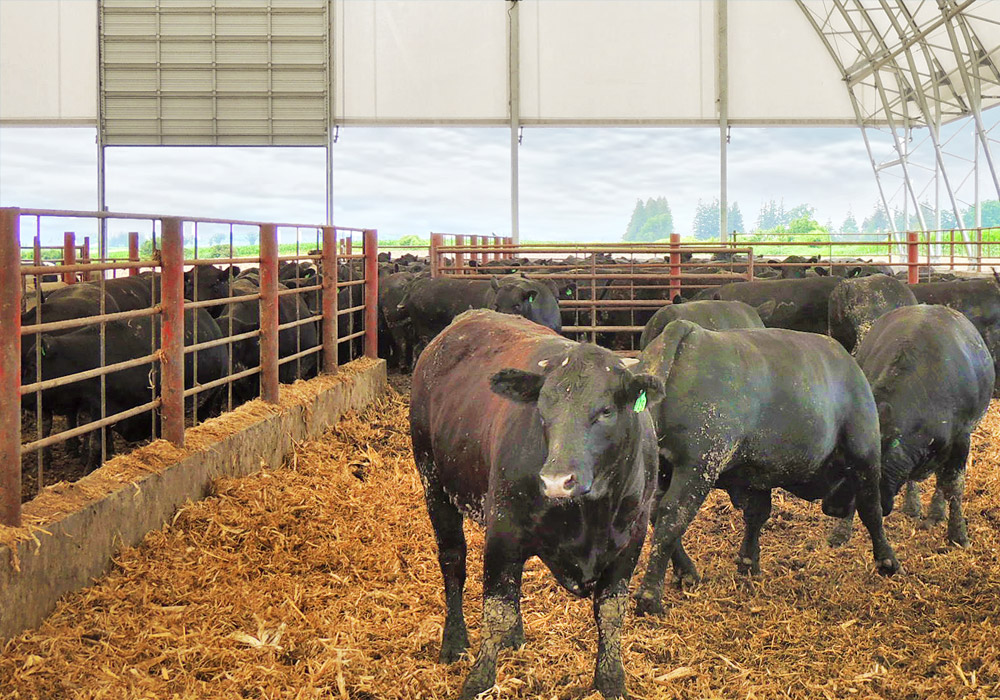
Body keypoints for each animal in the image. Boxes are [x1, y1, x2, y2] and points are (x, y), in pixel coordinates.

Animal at [410, 312, 668, 700]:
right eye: (543, 411)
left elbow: (611, 611)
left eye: (606, 410)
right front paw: (478, 680)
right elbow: (496, 610)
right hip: (434, 484)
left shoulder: (632, 538)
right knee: (453, 562)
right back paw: (453, 641)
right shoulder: (503, 529)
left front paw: (611, 680)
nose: (557, 480)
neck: (591, 514)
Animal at [636, 320, 904, 616]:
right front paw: (887, 561)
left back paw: (686, 573)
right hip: (698, 467)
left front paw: (748, 562)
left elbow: (757, 515)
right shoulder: (865, 455)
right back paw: (650, 597)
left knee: (655, 513)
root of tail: (690, 330)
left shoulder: (756, 475)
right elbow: (872, 510)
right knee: (673, 515)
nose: (836, 509)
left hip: (663, 471)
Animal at [828, 304, 992, 548]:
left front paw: (958, 534)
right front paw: (840, 532)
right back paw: (913, 505)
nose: (831, 507)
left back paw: (935, 512)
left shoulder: (962, 439)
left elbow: (954, 485)